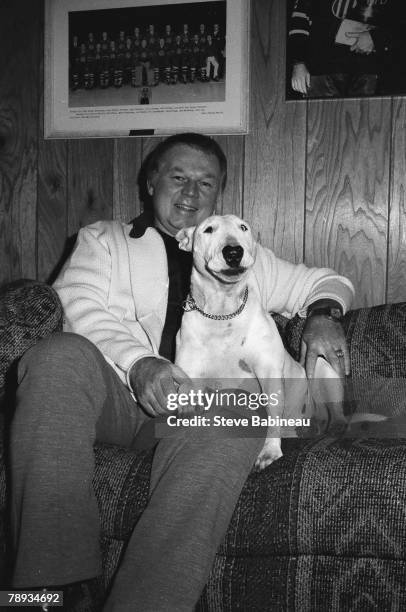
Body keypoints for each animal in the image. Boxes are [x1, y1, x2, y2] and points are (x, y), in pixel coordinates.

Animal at [174, 215, 342, 468]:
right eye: (208, 229)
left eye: (243, 227)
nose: (233, 251)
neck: (224, 312)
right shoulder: (191, 371)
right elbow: (187, 390)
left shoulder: (268, 372)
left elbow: (273, 415)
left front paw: (269, 451)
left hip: (323, 370)